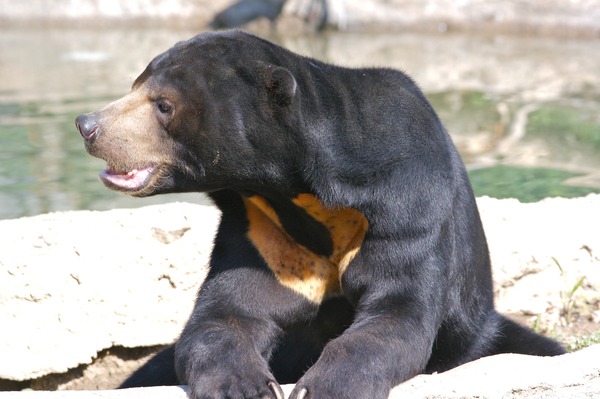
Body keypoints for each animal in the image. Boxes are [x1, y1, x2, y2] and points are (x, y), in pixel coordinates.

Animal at [75, 30, 564, 399]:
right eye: (136, 84)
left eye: (163, 104)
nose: (88, 125)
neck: (298, 194)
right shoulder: (261, 233)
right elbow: (227, 314)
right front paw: (244, 386)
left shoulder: (407, 209)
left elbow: (395, 313)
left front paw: (324, 387)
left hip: (478, 330)